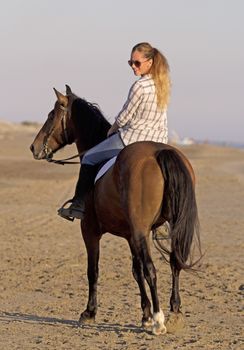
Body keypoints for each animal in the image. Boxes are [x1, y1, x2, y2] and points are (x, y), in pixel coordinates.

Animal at [30, 85, 200, 336]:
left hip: (141, 231)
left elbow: (94, 270)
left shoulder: (90, 230)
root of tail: (160, 152)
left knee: (152, 269)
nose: (33, 147)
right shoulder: (131, 236)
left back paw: (159, 321)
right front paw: (144, 315)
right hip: (171, 226)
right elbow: (135, 270)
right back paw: (174, 313)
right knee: (174, 262)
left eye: (51, 115)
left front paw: (89, 313)